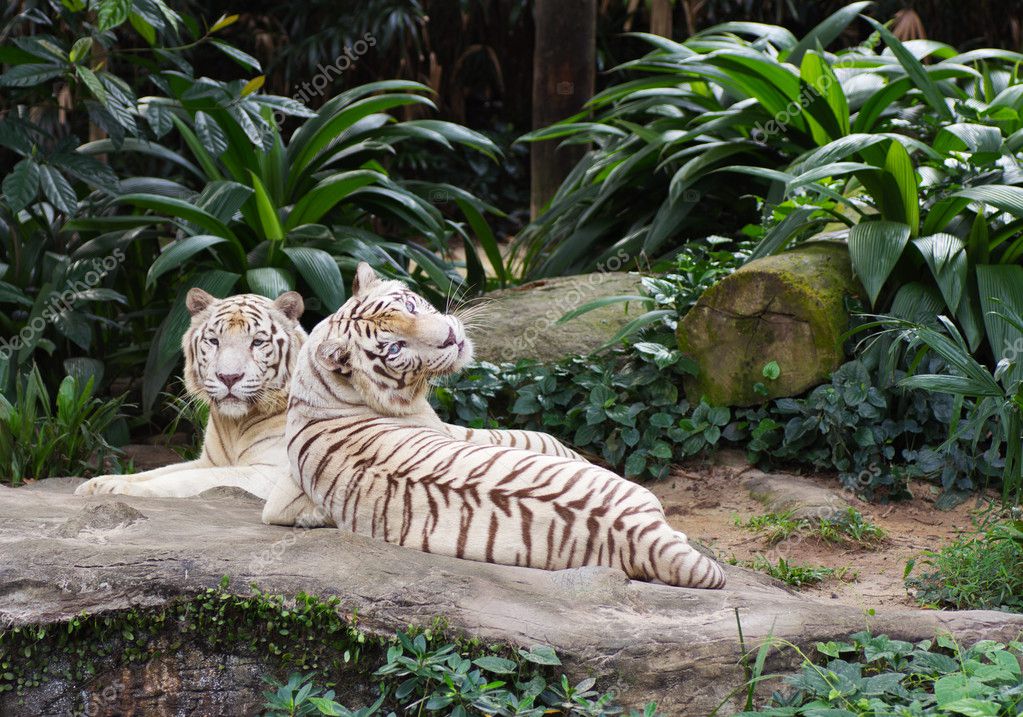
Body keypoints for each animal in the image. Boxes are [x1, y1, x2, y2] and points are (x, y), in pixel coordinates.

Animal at [263, 263, 728, 589]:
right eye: (394, 349)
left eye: (410, 306)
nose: (450, 338)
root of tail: (636, 534)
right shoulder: (454, 429)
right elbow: (539, 436)